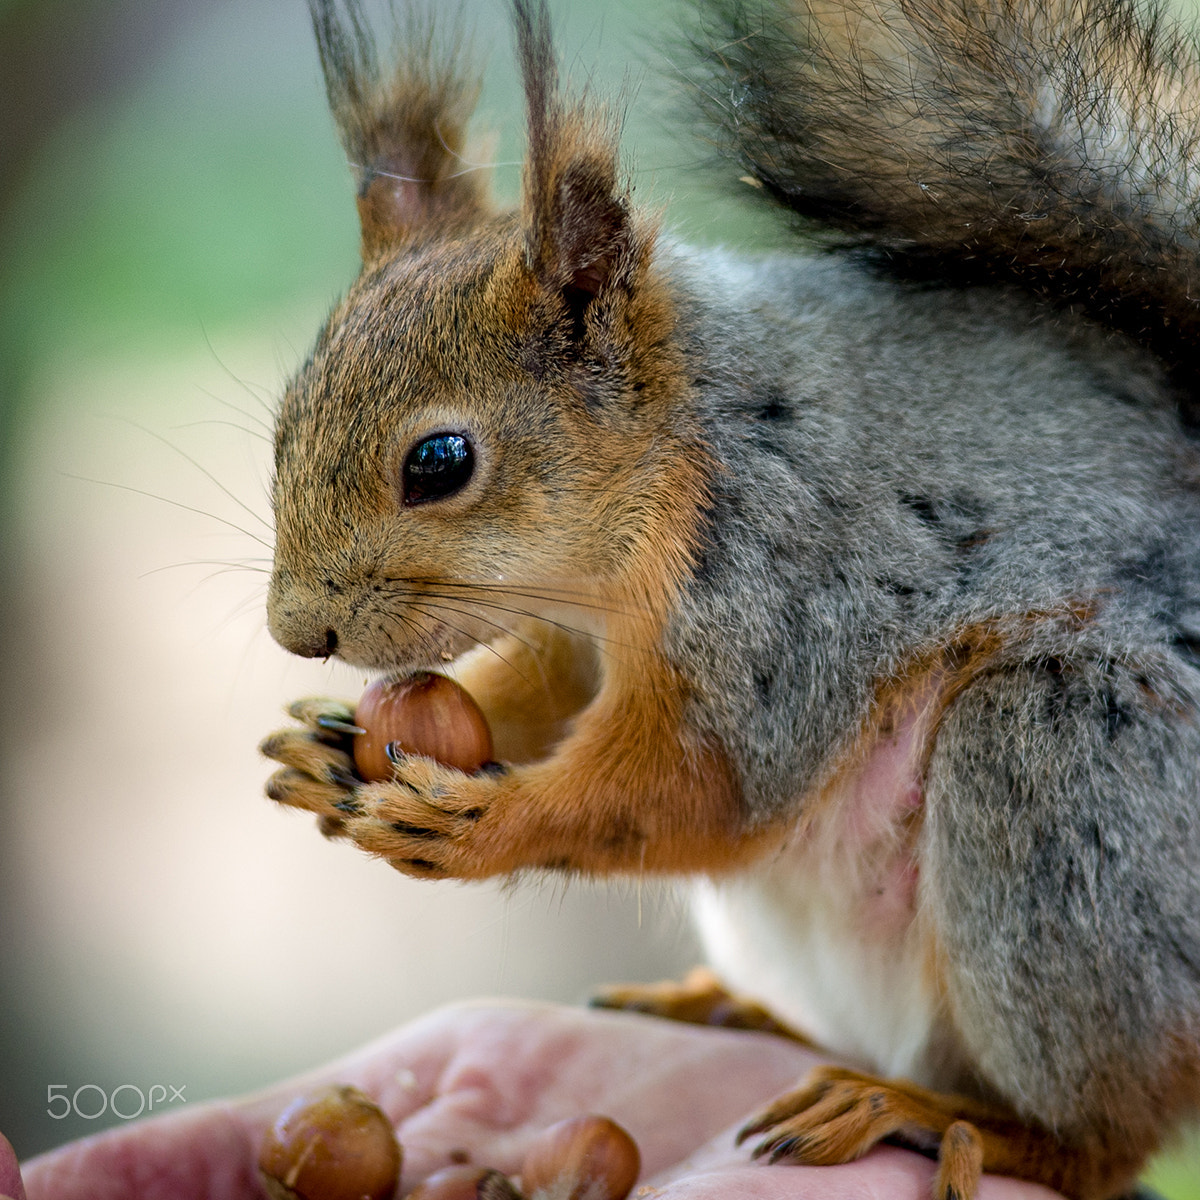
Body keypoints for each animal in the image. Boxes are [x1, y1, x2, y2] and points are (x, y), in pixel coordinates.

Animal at [258, 0, 1200, 1197]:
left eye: (438, 462)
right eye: (284, 422)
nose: (298, 633)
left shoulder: (786, 594)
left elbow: (692, 790)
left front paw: (477, 824)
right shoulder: (575, 637)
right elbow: (543, 706)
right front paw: (326, 747)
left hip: (1069, 767)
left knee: (1101, 1138)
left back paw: (938, 1116)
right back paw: (745, 1018)